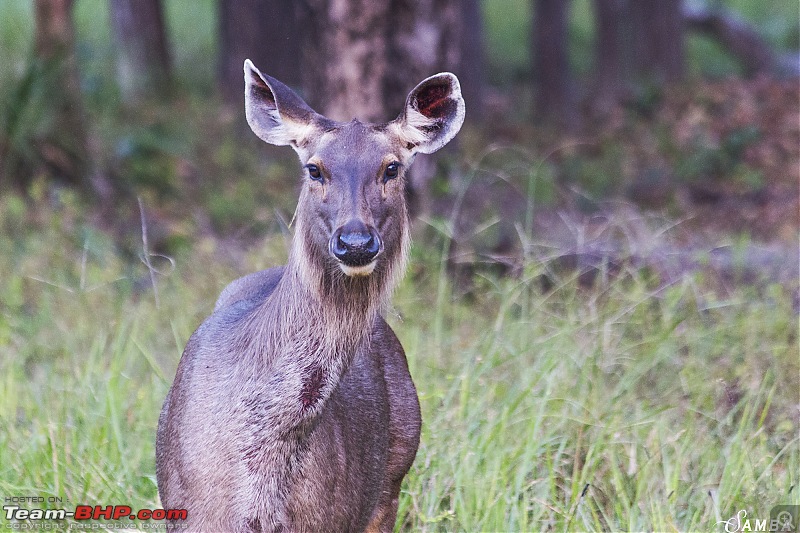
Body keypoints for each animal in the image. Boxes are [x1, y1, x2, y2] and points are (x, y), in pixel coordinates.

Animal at [156, 59, 466, 532]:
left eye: (392, 168)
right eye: (315, 169)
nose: (355, 242)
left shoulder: (328, 518)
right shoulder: (189, 513)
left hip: (393, 476)